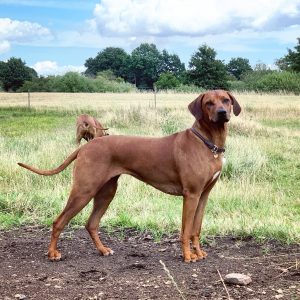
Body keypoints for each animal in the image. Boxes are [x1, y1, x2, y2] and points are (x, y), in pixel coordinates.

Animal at [18, 89, 241, 262]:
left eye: (225, 100)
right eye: (208, 103)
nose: (222, 113)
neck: (208, 143)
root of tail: (86, 147)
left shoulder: (203, 196)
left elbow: (196, 229)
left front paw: (199, 253)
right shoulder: (191, 195)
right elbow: (185, 231)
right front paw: (188, 256)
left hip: (106, 192)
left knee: (91, 223)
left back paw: (103, 250)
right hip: (84, 190)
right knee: (59, 221)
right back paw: (52, 253)